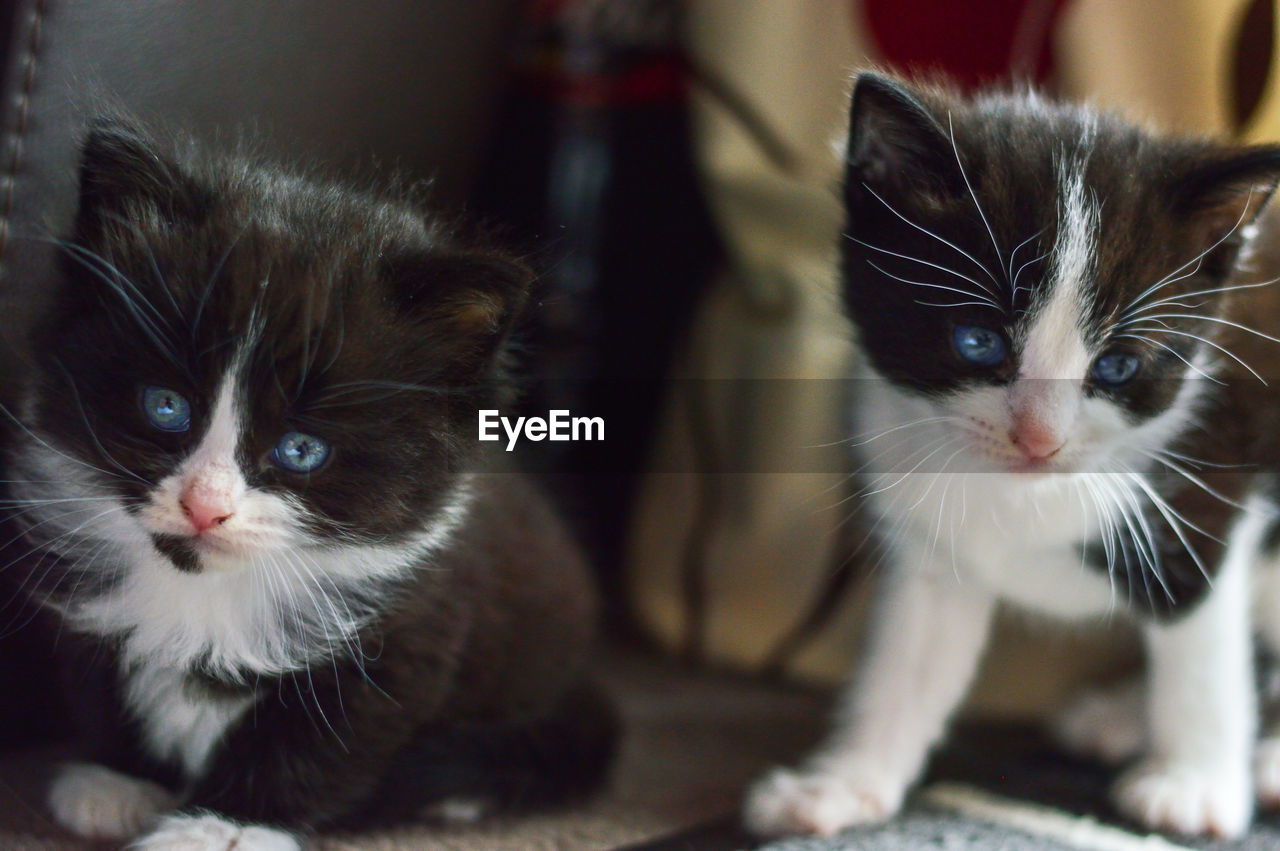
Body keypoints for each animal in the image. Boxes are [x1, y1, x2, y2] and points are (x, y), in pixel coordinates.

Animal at [5, 117, 614, 849]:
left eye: (301, 450)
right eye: (165, 407)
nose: (204, 507)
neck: (207, 591)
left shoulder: (409, 631)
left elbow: (310, 746)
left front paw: (224, 826)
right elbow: (101, 684)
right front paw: (118, 778)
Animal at [747, 71, 1280, 834]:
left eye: (1117, 366)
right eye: (978, 341)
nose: (1039, 440)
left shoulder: (1207, 493)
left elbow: (1201, 652)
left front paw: (1194, 784)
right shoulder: (929, 544)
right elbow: (910, 663)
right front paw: (845, 783)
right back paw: (1119, 717)